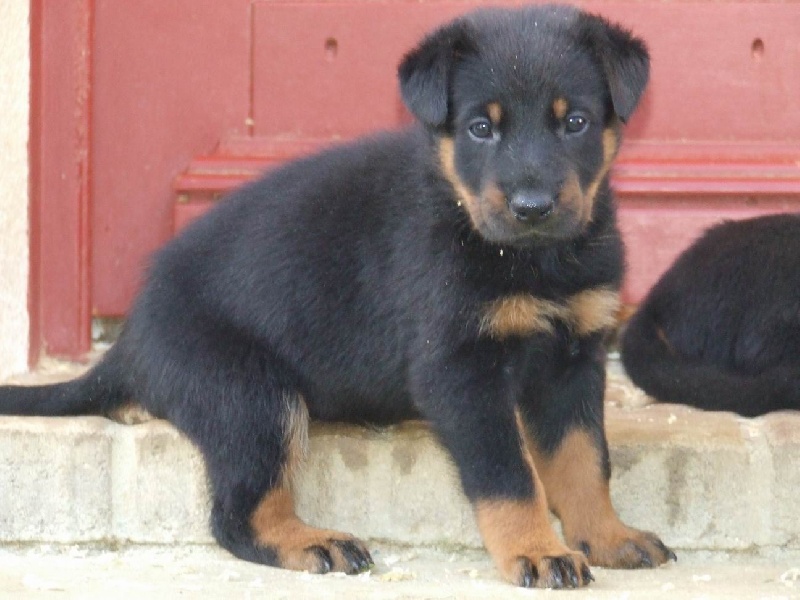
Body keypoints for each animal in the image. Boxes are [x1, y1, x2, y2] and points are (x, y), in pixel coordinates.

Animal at [0, 3, 676, 584]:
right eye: (481, 128)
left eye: (575, 122)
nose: (532, 208)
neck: (532, 259)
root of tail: (131, 336)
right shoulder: (459, 370)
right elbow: (510, 475)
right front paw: (537, 551)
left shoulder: (574, 359)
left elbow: (585, 460)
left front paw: (605, 536)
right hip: (253, 396)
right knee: (239, 514)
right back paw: (313, 541)